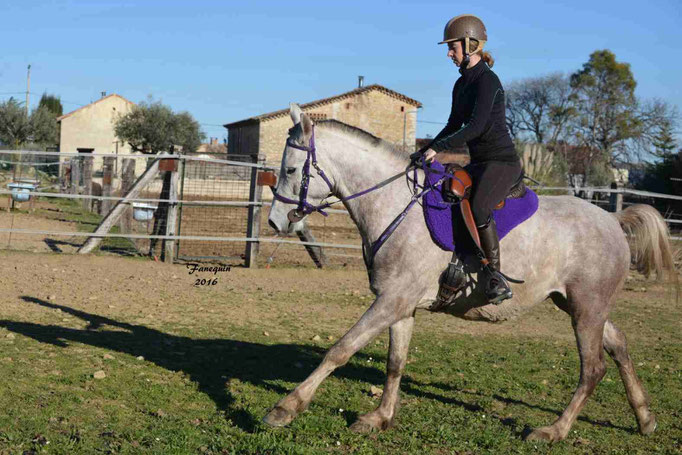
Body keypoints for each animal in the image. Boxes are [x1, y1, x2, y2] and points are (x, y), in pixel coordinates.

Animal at [262, 105, 672, 444]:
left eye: (290, 169)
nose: (276, 221)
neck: (395, 204)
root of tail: (613, 220)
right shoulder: (401, 304)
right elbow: (395, 363)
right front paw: (380, 418)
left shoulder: (391, 301)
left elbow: (340, 349)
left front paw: (286, 408)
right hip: (578, 304)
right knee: (618, 345)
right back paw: (645, 417)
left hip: (587, 307)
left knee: (593, 368)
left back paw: (553, 430)